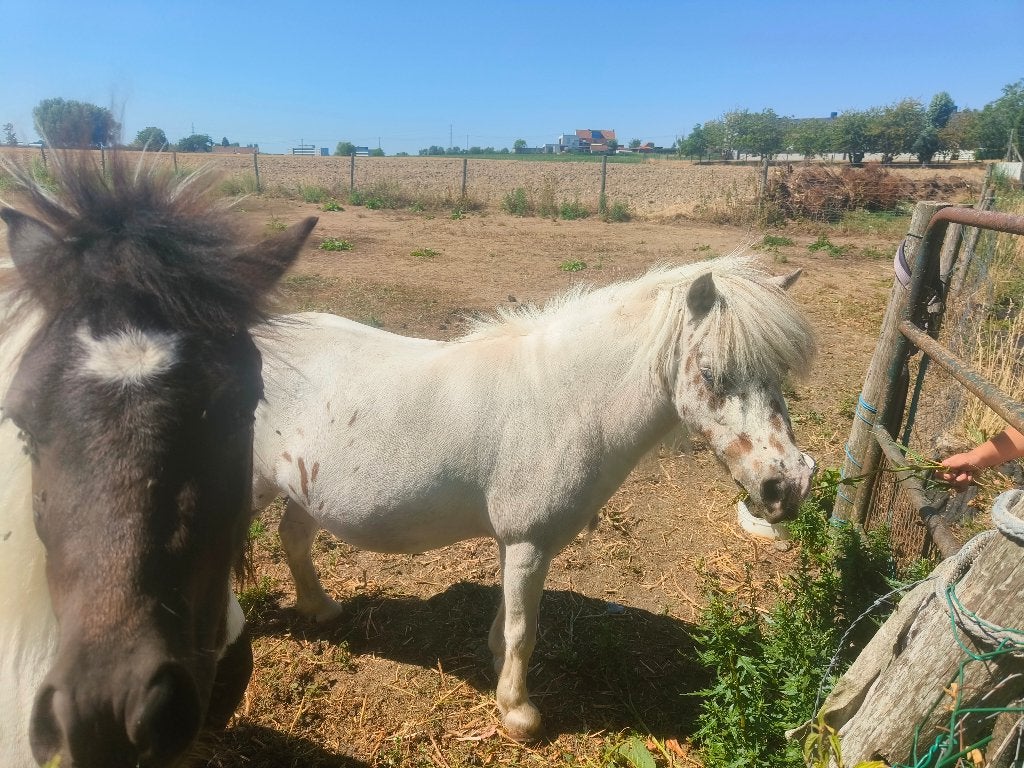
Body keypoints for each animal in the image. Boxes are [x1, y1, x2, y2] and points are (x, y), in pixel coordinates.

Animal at [251, 253, 817, 740]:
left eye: (779, 374)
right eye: (711, 374)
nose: (787, 486)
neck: (560, 401)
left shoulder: (519, 545)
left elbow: (511, 621)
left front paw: (499, 671)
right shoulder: (528, 542)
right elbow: (524, 629)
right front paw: (518, 714)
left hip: (305, 491)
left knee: (293, 537)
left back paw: (320, 608)